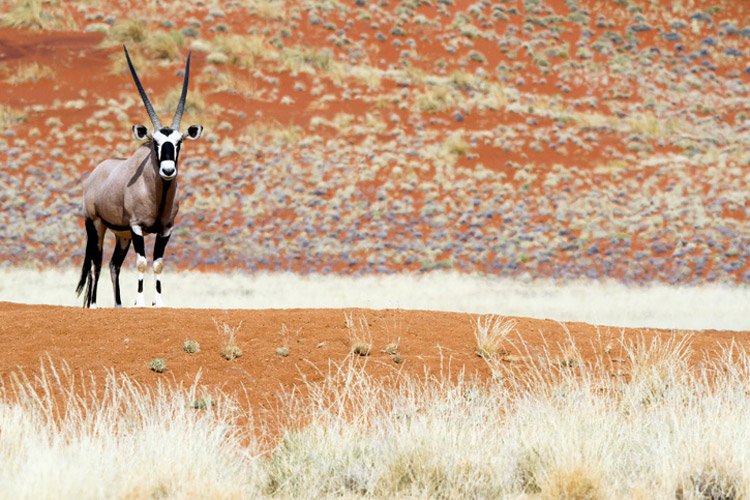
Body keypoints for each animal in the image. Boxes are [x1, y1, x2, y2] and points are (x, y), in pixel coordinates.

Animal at [76, 47, 203, 306]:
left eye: (179, 142)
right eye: (155, 142)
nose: (168, 171)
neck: (158, 193)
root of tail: (95, 174)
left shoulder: (165, 229)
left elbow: (158, 264)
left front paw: (158, 302)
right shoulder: (136, 227)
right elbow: (143, 262)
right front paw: (141, 302)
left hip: (121, 234)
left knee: (113, 264)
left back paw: (118, 304)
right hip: (96, 225)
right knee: (96, 263)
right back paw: (93, 305)